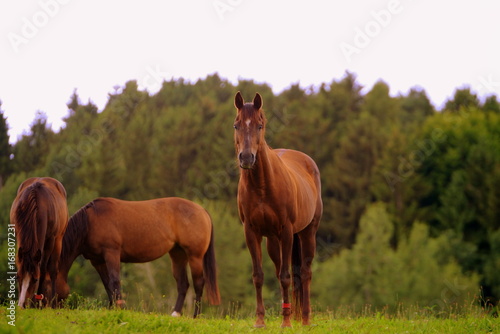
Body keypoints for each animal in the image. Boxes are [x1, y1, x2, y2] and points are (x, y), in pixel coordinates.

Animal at [10, 177, 69, 308]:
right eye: (17, 277)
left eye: (35, 279)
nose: (22, 305)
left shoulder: (50, 241)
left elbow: (42, 268)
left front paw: (36, 303)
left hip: (58, 240)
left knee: (52, 270)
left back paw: (52, 303)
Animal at [53, 197, 221, 318]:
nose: (49, 306)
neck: (90, 222)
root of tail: (202, 210)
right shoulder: (97, 261)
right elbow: (107, 284)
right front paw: (112, 308)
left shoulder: (111, 253)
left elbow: (115, 281)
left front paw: (120, 308)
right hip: (178, 254)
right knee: (183, 284)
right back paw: (175, 314)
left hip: (195, 256)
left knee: (199, 283)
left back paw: (195, 316)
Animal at [234, 91, 324, 326]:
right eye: (236, 125)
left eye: (260, 125)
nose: (246, 158)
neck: (262, 186)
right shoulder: (251, 232)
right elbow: (259, 276)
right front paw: (260, 321)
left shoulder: (287, 231)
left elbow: (286, 277)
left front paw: (286, 323)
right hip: (273, 241)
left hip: (307, 233)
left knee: (305, 273)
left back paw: (305, 319)